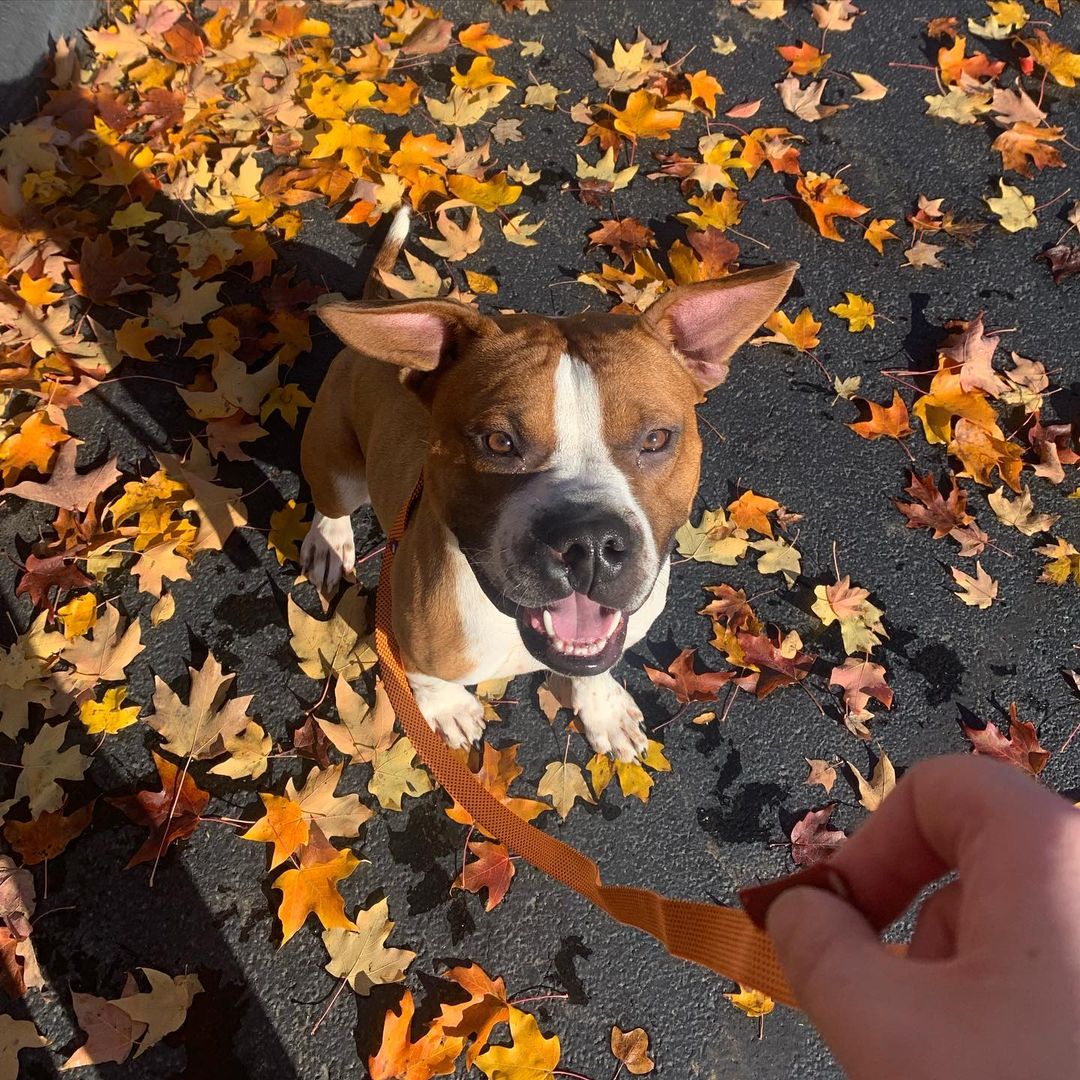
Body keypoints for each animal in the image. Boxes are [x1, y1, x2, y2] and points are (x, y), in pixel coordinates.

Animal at [300, 208, 799, 760]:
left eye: (655, 438)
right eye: (499, 442)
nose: (590, 543)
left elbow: (594, 669)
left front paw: (601, 709)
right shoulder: (408, 641)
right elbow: (428, 681)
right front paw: (448, 708)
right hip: (336, 458)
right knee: (331, 501)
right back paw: (329, 542)